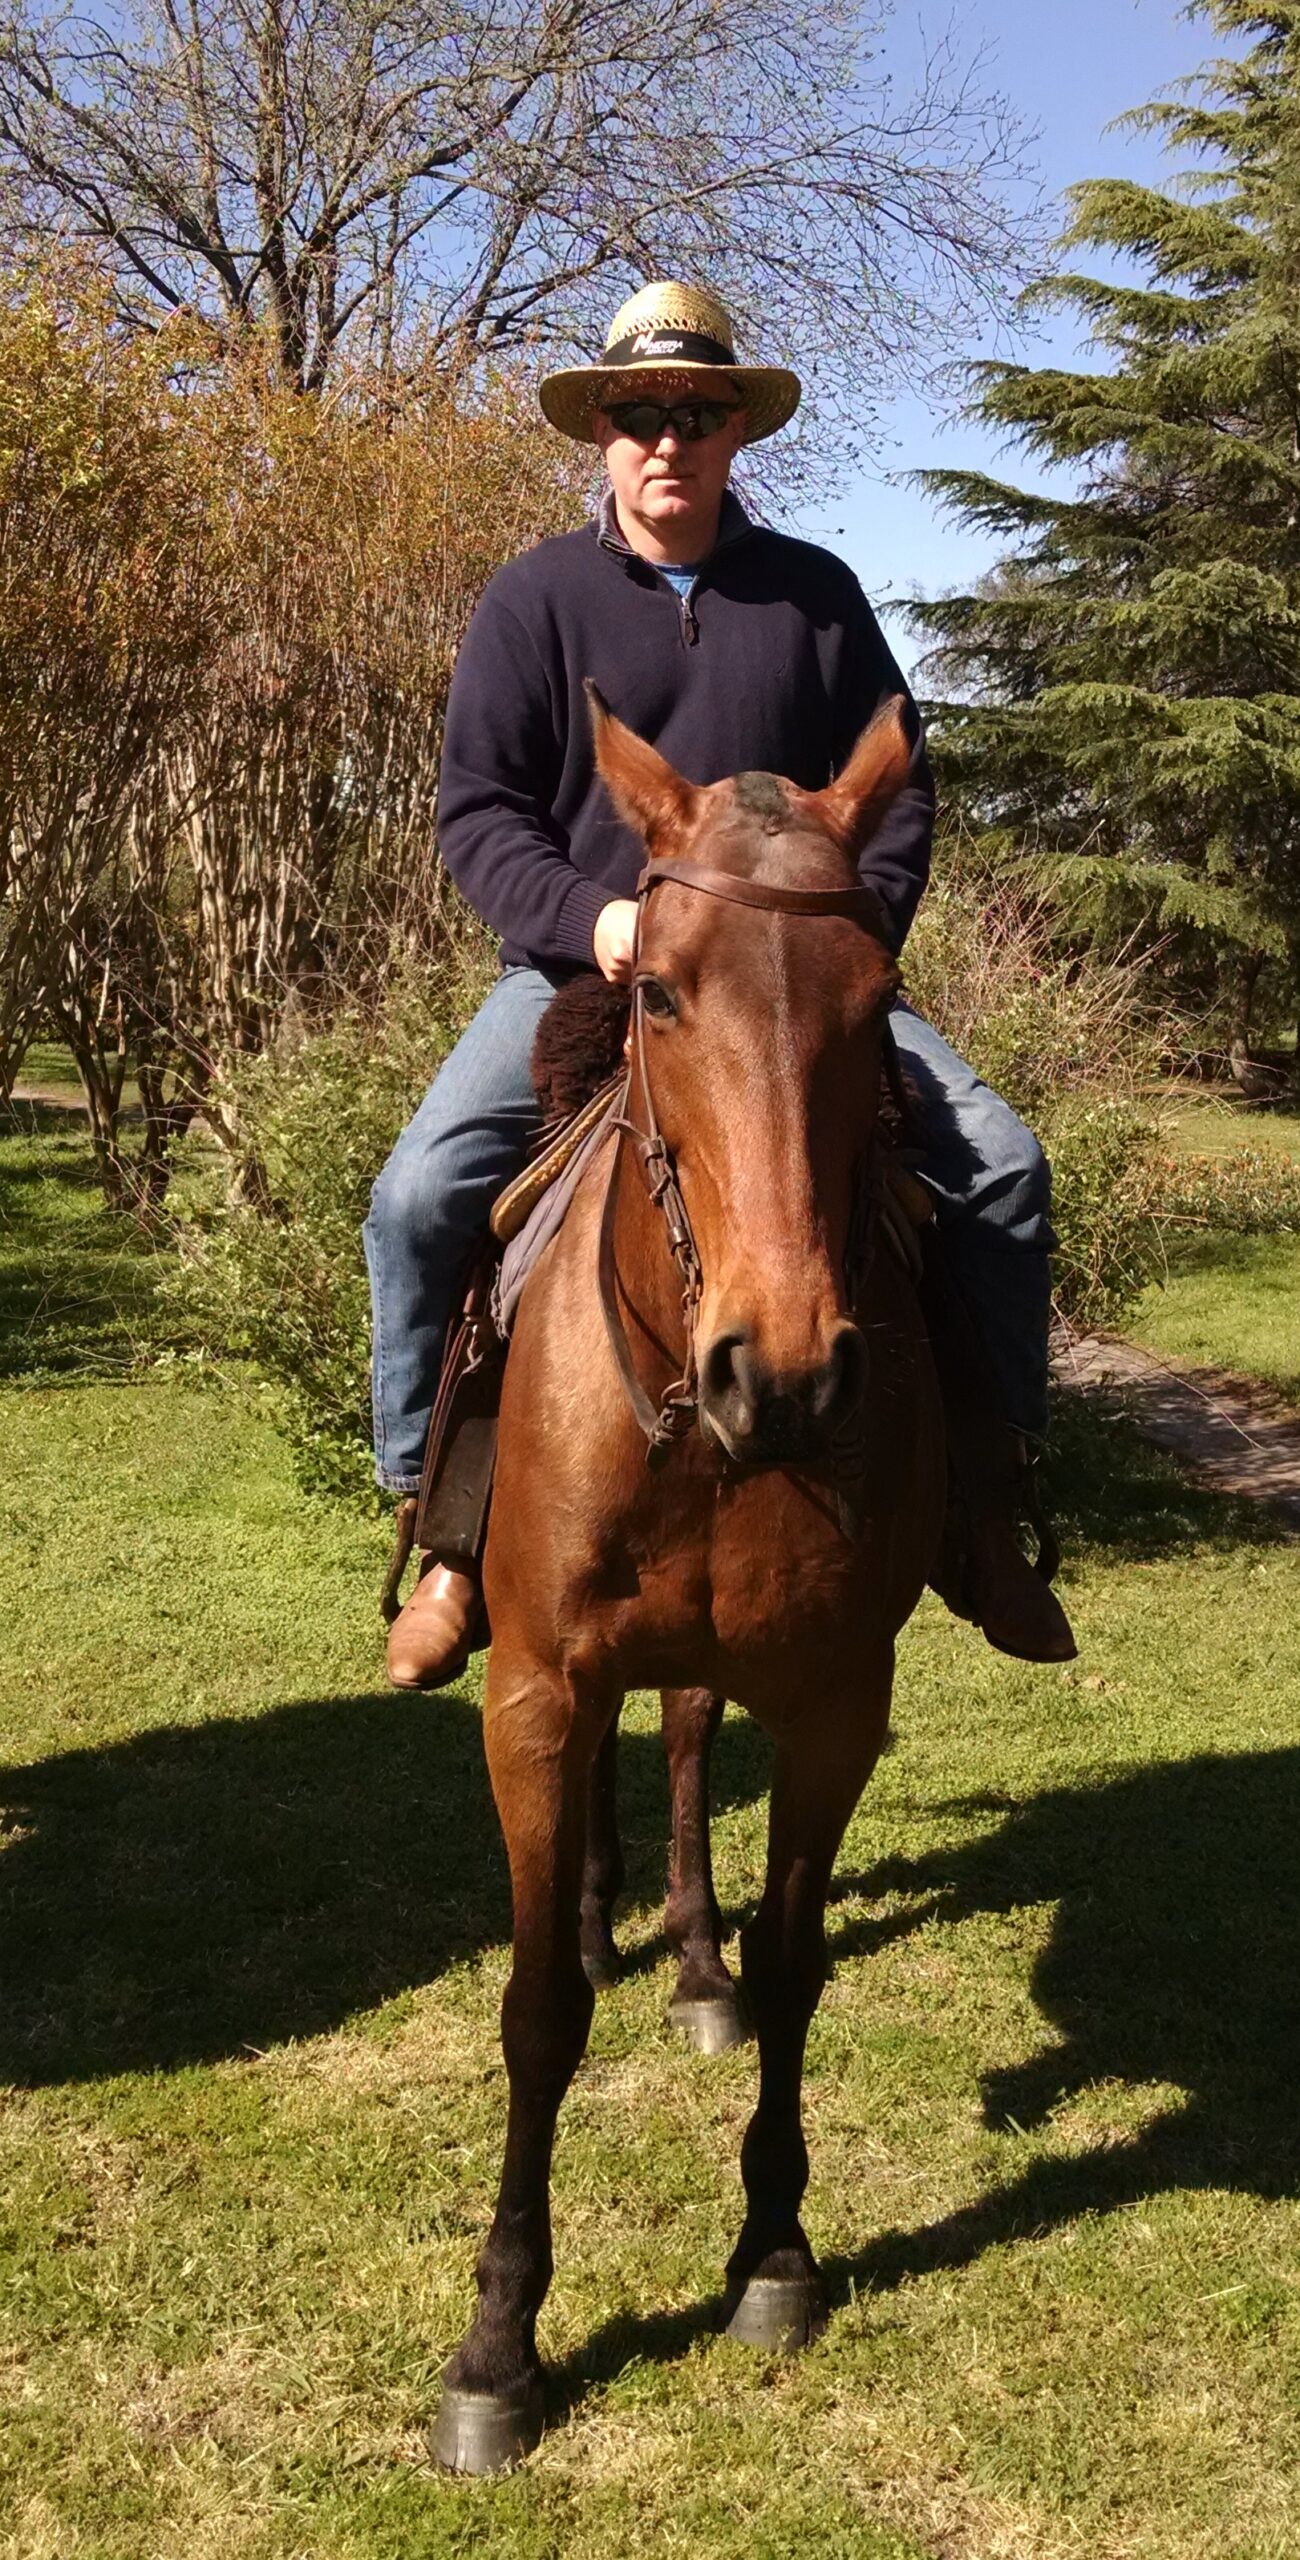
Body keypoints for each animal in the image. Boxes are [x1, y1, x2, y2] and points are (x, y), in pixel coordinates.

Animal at [432, 692, 946, 2474]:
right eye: (658, 987)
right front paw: (498, 2346)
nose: (779, 1373)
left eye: (877, 1002)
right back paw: (604, 1930)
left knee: (677, 1746)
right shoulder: (531, 1687)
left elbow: (798, 1967)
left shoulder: (837, 1701)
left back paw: (688, 1957)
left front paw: (775, 2251)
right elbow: (532, 2014)